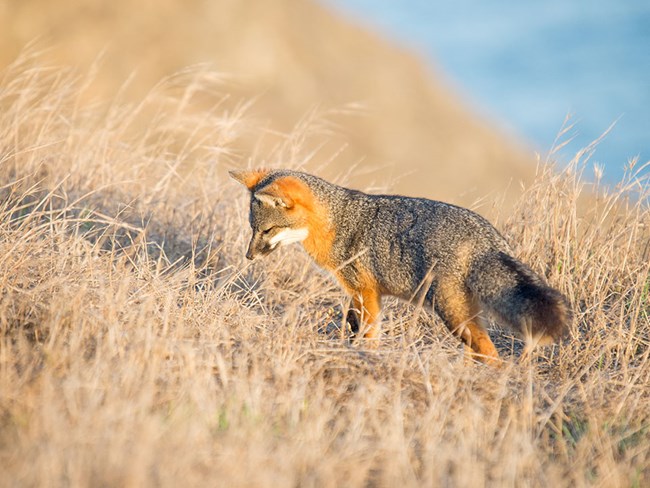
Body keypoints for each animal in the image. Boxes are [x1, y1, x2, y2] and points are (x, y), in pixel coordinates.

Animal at [228, 168, 568, 362]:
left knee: (490, 351)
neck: (338, 221)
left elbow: (369, 333)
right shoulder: (360, 293)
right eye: (252, 229)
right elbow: (356, 326)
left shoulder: (365, 291)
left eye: (267, 230)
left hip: (452, 313)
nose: (248, 257)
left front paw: (366, 358)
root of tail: (486, 238)